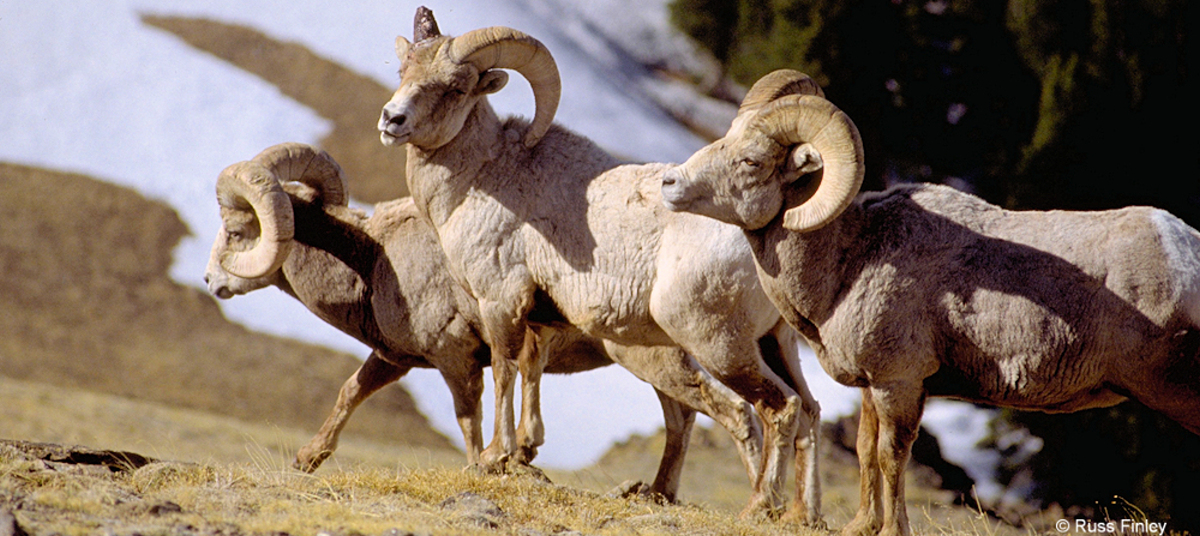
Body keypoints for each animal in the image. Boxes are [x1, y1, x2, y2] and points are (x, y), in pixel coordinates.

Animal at [204, 142, 764, 502]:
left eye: (236, 231)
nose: (212, 282)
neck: (375, 259)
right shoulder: (395, 359)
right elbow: (350, 393)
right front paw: (308, 459)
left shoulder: (456, 359)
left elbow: (468, 419)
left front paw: (484, 468)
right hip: (655, 365)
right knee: (683, 419)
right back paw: (657, 494)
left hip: (652, 360)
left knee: (730, 412)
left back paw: (760, 503)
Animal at [376, 7, 823, 522]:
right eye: (403, 70)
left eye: (454, 87)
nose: (392, 119)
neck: (482, 179)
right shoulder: (539, 320)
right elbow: (530, 371)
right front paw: (524, 451)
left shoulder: (500, 302)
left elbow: (505, 371)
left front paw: (494, 456)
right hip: (776, 341)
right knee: (808, 410)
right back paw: (802, 515)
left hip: (720, 346)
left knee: (774, 409)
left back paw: (759, 506)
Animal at [660, 69, 1200, 536]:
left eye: (750, 161)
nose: (669, 183)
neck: (848, 260)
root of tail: (1185, 250)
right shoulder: (873, 386)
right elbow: (865, 450)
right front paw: (862, 526)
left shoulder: (900, 384)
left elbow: (890, 456)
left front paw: (891, 530)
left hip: (1176, 392)